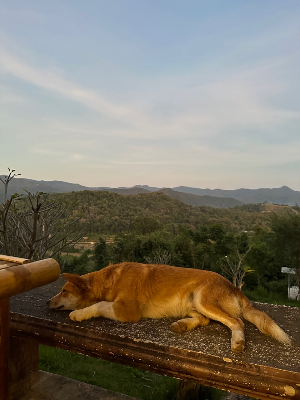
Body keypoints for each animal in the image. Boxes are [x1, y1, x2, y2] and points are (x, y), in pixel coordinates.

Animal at [48, 262, 290, 354]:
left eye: (64, 290)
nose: (48, 302)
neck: (110, 280)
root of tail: (232, 285)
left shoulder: (128, 311)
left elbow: (99, 304)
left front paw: (79, 313)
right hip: (192, 303)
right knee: (204, 320)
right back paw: (182, 325)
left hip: (204, 300)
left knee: (237, 321)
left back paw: (237, 341)